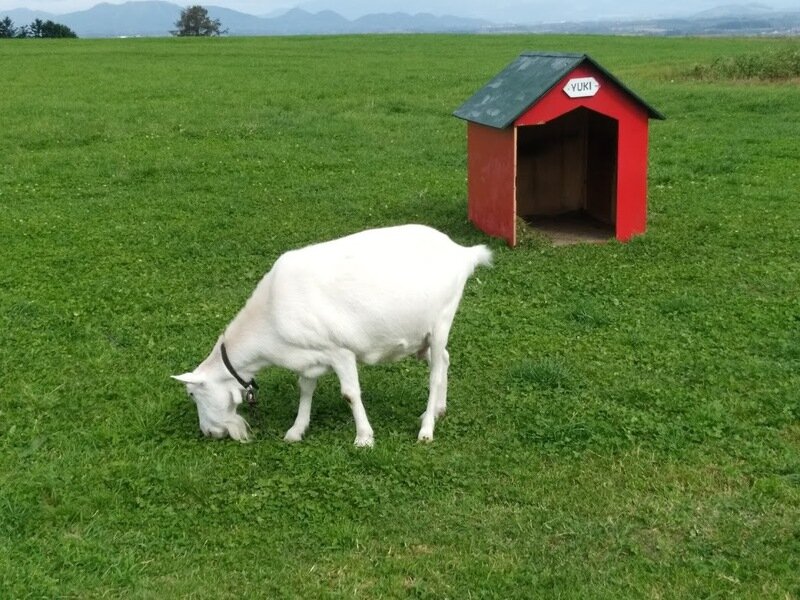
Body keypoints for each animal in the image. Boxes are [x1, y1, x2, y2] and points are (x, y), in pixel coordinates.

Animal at [172, 225, 490, 446]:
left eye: (192, 394)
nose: (209, 432)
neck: (270, 314)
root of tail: (463, 253)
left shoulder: (340, 351)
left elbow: (350, 394)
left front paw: (364, 438)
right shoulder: (310, 354)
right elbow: (305, 388)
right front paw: (296, 430)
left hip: (442, 320)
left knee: (434, 374)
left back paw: (426, 430)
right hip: (422, 336)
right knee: (444, 359)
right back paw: (436, 411)